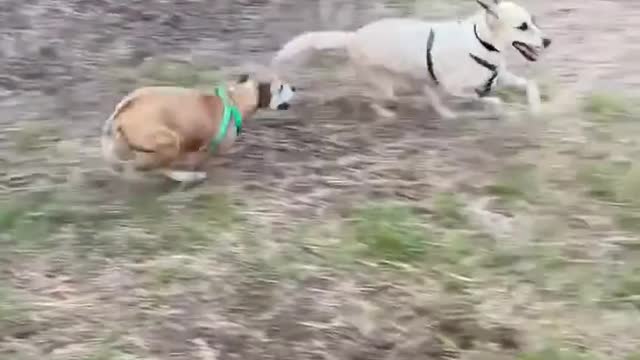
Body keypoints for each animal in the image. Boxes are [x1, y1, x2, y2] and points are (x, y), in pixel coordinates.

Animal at [101, 73, 296, 183]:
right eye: (280, 87)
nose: (294, 87)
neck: (235, 99)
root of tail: (124, 109)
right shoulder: (211, 150)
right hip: (170, 142)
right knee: (156, 167)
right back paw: (187, 177)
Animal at [270, 0, 552, 119]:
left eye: (533, 21)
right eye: (522, 26)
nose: (548, 41)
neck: (481, 42)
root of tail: (354, 36)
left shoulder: (498, 75)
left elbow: (530, 85)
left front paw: (536, 107)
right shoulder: (456, 88)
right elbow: (486, 98)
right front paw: (498, 107)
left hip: (421, 79)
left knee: (430, 97)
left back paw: (447, 115)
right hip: (386, 86)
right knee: (373, 100)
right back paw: (386, 113)